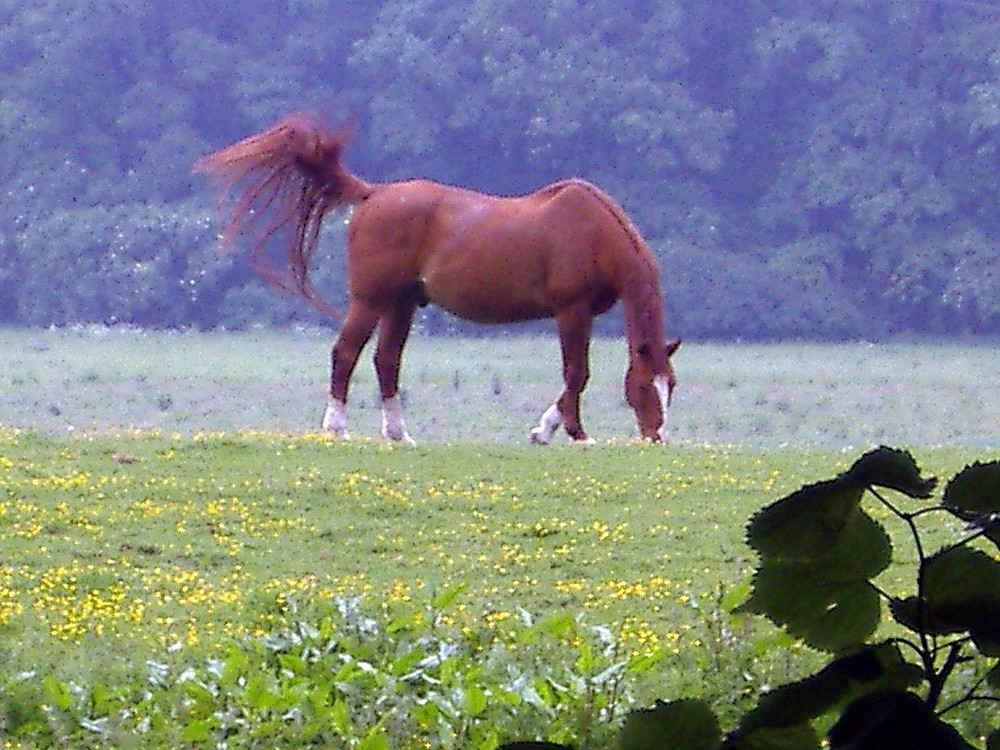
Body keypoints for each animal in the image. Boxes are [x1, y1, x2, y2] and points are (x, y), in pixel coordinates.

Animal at [195, 114, 680, 446]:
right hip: (371, 300)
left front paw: (545, 430)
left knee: (385, 361)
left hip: (401, 303)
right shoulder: (571, 311)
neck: (591, 232)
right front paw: (574, 433)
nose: (656, 438)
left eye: (670, 385)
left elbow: (571, 378)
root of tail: (372, 194)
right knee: (346, 353)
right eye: (643, 386)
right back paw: (337, 428)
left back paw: (398, 433)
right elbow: (576, 373)